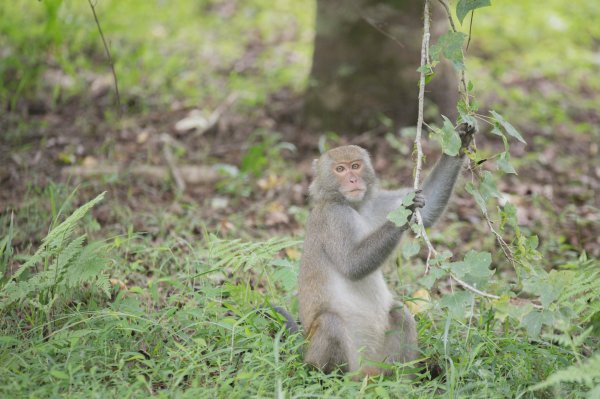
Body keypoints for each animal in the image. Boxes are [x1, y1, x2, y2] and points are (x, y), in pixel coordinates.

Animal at [298, 122, 476, 378]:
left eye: (356, 166)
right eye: (340, 169)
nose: (353, 180)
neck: (355, 207)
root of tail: (365, 372)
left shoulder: (375, 205)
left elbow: (427, 211)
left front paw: (459, 143)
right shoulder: (333, 218)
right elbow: (352, 265)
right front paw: (407, 210)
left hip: (379, 359)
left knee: (400, 314)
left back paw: (402, 379)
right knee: (331, 323)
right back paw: (331, 379)